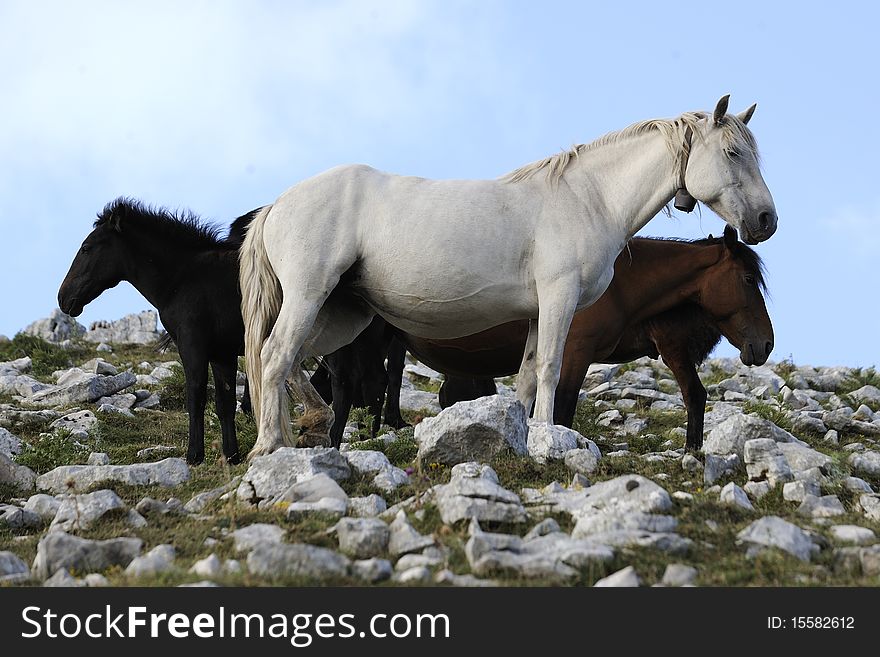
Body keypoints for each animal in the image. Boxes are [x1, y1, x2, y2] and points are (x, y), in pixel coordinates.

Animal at [56, 197, 408, 464]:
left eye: (87, 248)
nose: (64, 299)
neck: (183, 278)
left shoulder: (193, 347)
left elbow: (196, 397)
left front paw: (193, 456)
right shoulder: (222, 354)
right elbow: (224, 404)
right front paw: (232, 455)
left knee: (351, 386)